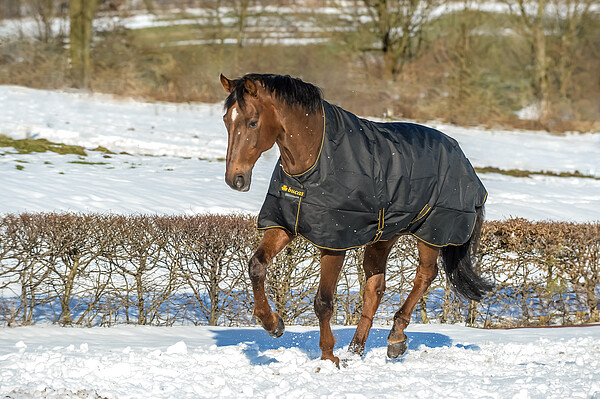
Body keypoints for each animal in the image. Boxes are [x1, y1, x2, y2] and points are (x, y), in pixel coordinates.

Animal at [220, 73, 492, 368]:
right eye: (226, 120)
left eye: (252, 122)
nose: (235, 179)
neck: (313, 160)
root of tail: (462, 157)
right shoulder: (284, 225)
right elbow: (256, 266)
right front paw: (273, 324)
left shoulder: (333, 243)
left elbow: (323, 302)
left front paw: (329, 356)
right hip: (385, 236)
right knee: (375, 287)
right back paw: (356, 349)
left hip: (431, 233)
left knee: (425, 276)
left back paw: (395, 339)